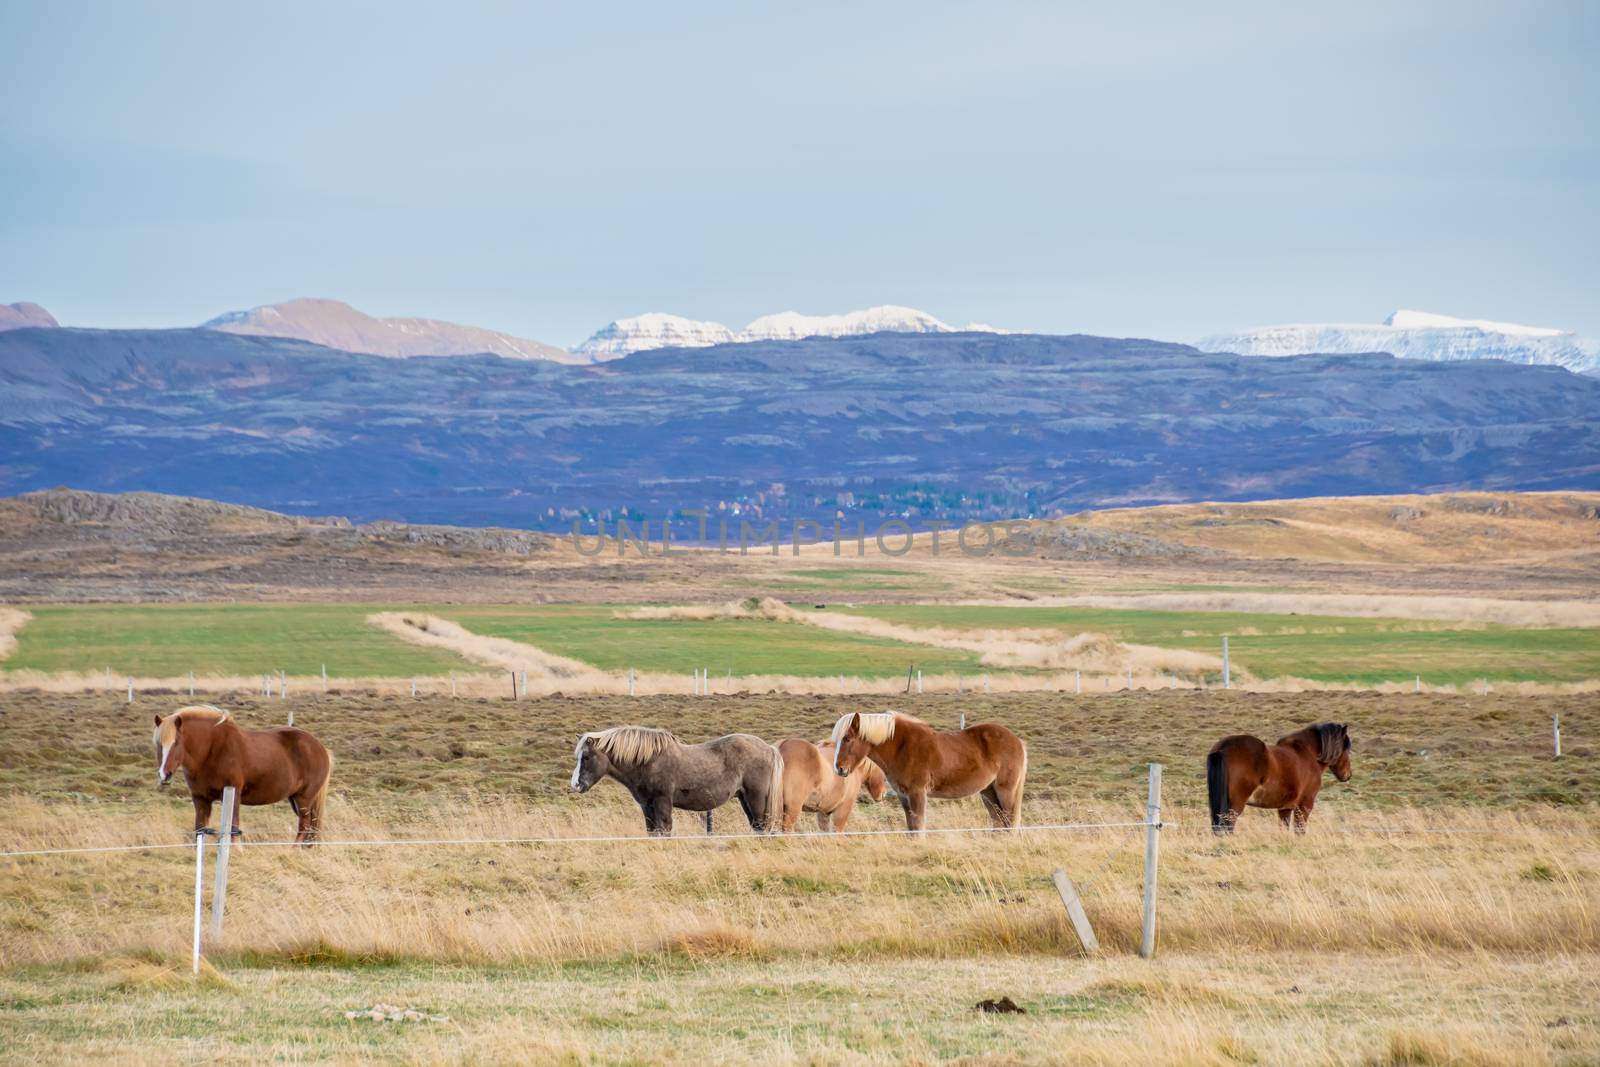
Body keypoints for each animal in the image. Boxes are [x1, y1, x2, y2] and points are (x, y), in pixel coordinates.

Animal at [152, 703, 334, 844]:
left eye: (176, 742)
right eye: (159, 743)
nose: (164, 775)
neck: (212, 750)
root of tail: (321, 748)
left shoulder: (233, 793)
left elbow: (233, 826)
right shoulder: (200, 798)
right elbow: (200, 829)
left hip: (304, 798)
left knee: (305, 825)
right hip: (295, 798)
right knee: (311, 825)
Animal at [572, 726, 784, 831]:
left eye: (586, 757)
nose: (576, 785)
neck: (648, 761)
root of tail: (769, 748)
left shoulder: (662, 801)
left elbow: (664, 829)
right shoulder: (647, 805)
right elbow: (652, 831)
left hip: (757, 798)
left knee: (762, 826)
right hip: (744, 798)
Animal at [825, 710, 1024, 831]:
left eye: (847, 738)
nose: (839, 769)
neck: (902, 747)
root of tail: (1017, 740)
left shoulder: (917, 794)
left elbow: (919, 827)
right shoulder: (904, 796)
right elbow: (911, 828)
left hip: (1006, 790)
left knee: (1009, 820)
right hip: (988, 792)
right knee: (999, 820)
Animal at [1203, 726, 1356, 831]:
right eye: (1346, 748)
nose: (1347, 775)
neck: (1307, 754)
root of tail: (1223, 748)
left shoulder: (1285, 808)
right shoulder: (1305, 805)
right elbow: (1300, 830)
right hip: (1234, 806)